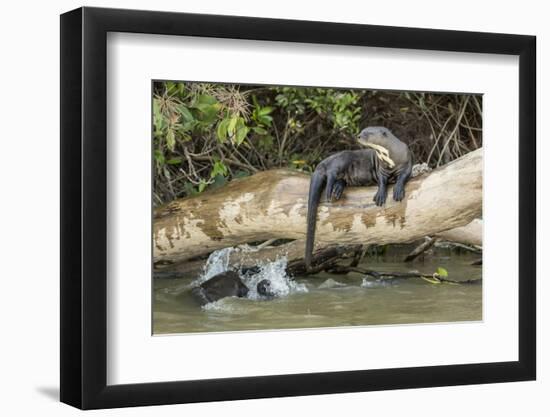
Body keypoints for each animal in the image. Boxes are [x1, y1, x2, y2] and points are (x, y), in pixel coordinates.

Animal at [306, 127, 414, 268]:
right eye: (363, 130)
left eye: (368, 133)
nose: (358, 136)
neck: (390, 158)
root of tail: (324, 161)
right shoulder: (381, 169)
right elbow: (382, 181)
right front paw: (380, 194)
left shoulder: (407, 161)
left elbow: (404, 176)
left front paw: (398, 189)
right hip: (343, 159)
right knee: (332, 172)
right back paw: (331, 188)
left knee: (340, 178)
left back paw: (337, 189)